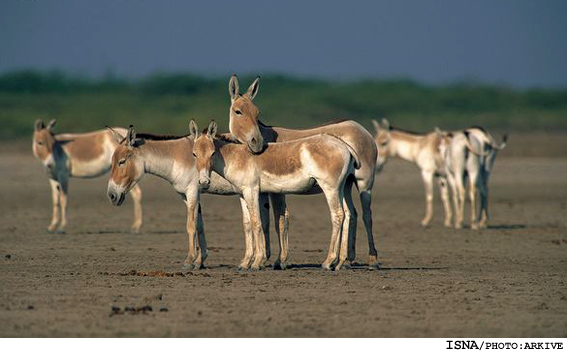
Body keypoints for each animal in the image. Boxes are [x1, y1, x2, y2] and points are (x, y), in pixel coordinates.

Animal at [192, 121, 360, 272]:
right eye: (194, 154)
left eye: (212, 153)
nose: (203, 181)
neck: (238, 157)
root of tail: (343, 145)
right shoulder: (242, 193)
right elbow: (247, 224)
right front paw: (245, 263)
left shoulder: (251, 190)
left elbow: (257, 222)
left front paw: (256, 263)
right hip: (343, 187)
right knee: (348, 214)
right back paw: (340, 263)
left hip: (330, 188)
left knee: (337, 215)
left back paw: (328, 262)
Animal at [227, 75, 382, 268]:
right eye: (238, 111)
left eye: (257, 113)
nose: (258, 143)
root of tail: (362, 129)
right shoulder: (263, 189)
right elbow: (264, 220)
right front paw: (263, 258)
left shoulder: (276, 191)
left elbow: (279, 219)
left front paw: (279, 261)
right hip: (346, 184)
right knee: (351, 214)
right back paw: (346, 260)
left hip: (364, 183)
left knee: (367, 216)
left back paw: (372, 259)